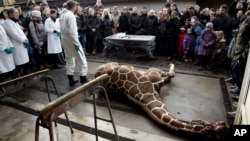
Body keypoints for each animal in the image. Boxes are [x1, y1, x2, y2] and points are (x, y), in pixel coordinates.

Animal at [94, 62, 229, 140]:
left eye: (224, 125)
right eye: (219, 131)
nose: (225, 124)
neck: (146, 92)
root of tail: (97, 71)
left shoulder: (155, 77)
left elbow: (170, 76)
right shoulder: (153, 73)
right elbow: (171, 74)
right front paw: (171, 66)